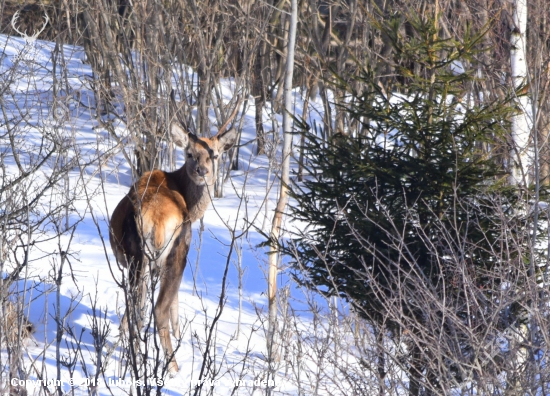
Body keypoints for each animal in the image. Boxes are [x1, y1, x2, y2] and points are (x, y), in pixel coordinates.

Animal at [110, 106, 239, 372]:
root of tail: (155, 221)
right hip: (175, 252)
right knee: (159, 308)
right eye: (190, 154)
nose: (202, 171)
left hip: (139, 260)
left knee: (136, 306)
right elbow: (175, 307)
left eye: (215, 155)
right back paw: (173, 368)